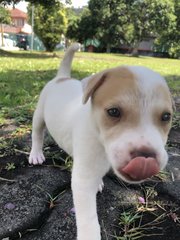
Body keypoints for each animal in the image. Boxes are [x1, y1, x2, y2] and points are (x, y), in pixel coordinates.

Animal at [29, 43, 173, 240]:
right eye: (113, 112)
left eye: (166, 117)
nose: (145, 157)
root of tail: (62, 78)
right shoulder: (83, 181)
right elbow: (88, 218)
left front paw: (98, 182)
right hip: (39, 115)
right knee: (37, 133)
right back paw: (36, 154)